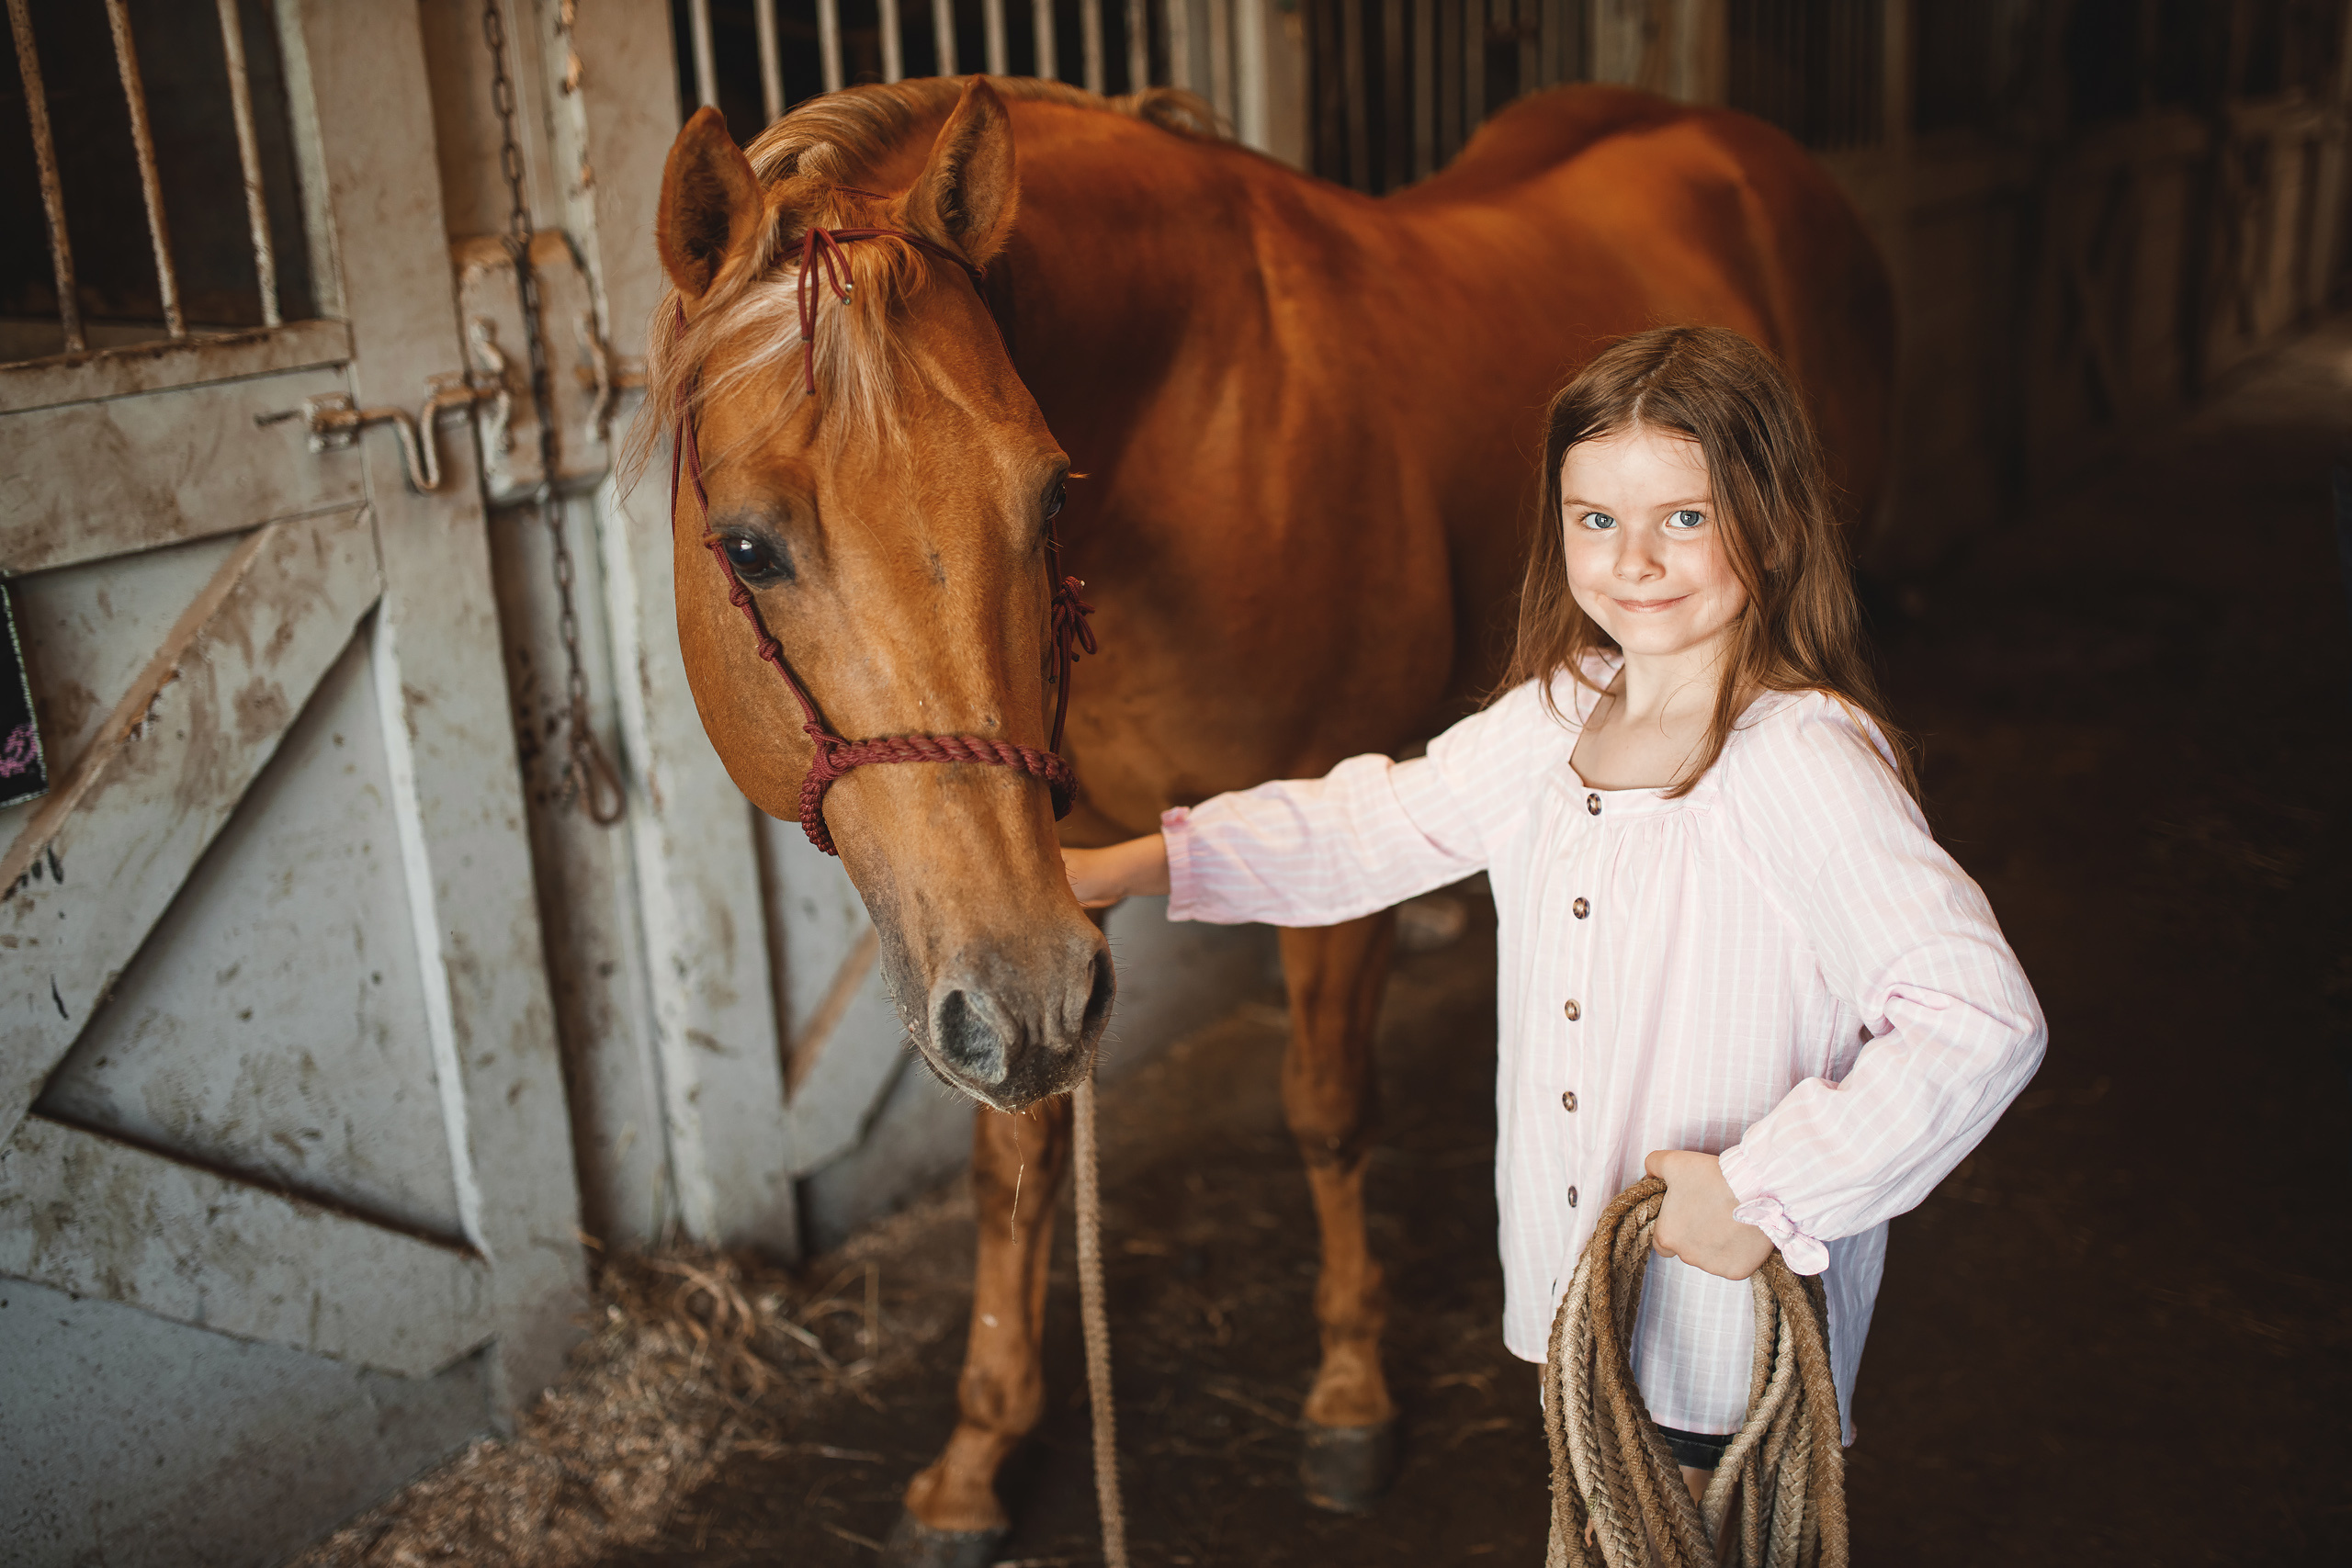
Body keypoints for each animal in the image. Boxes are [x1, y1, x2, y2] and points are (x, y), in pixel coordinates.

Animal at [639, 73, 1892, 1566]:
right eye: (748, 544)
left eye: (1047, 494)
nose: (1034, 1003)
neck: (1192, 424)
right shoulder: (1028, 893)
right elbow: (1017, 1162)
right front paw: (977, 1451)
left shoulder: (1303, 832)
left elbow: (1326, 1107)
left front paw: (1349, 1391)